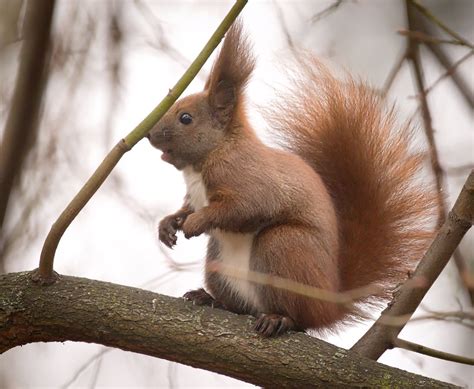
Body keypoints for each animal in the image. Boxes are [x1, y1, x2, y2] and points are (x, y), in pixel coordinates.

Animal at [146, 22, 436, 336]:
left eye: (185, 118)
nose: (149, 134)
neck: (203, 162)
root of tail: (329, 304)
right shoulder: (195, 193)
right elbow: (186, 207)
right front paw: (169, 225)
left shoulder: (245, 175)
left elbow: (246, 206)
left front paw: (196, 222)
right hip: (219, 264)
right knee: (241, 306)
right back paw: (211, 299)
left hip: (283, 247)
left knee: (299, 317)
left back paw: (279, 318)